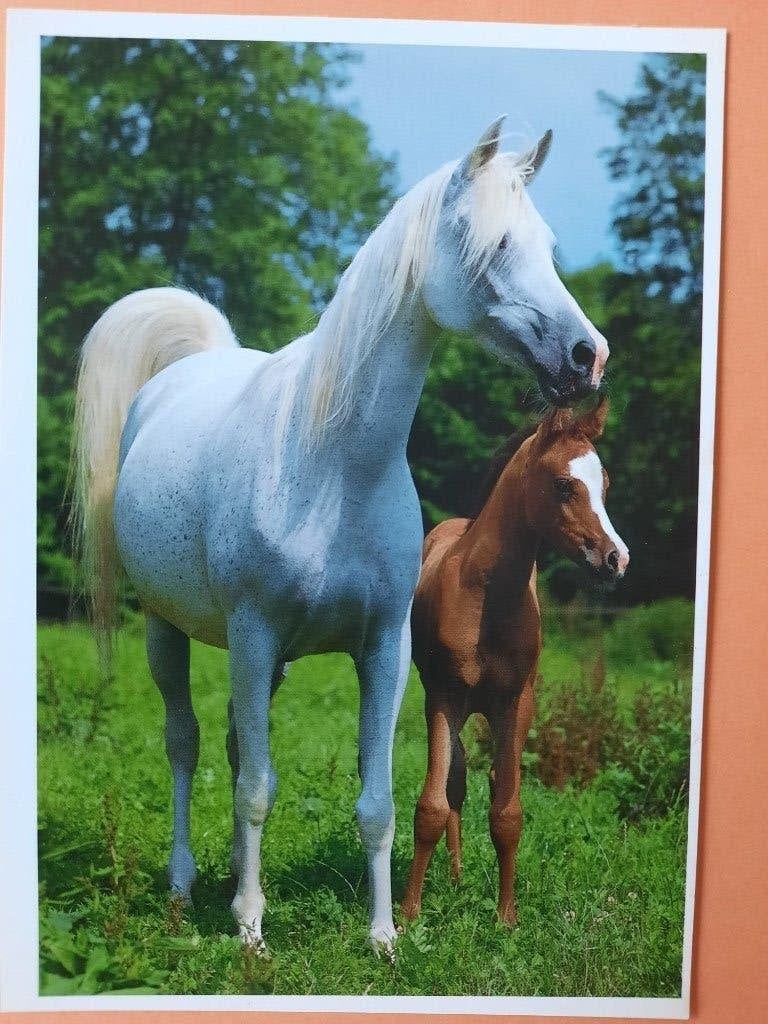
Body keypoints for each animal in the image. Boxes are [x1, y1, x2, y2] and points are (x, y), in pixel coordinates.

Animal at [400, 398, 628, 926]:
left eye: (605, 483)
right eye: (564, 484)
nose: (617, 559)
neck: (487, 598)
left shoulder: (516, 705)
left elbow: (507, 813)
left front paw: (507, 919)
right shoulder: (443, 699)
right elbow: (432, 805)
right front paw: (407, 914)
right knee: (456, 782)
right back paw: (453, 876)